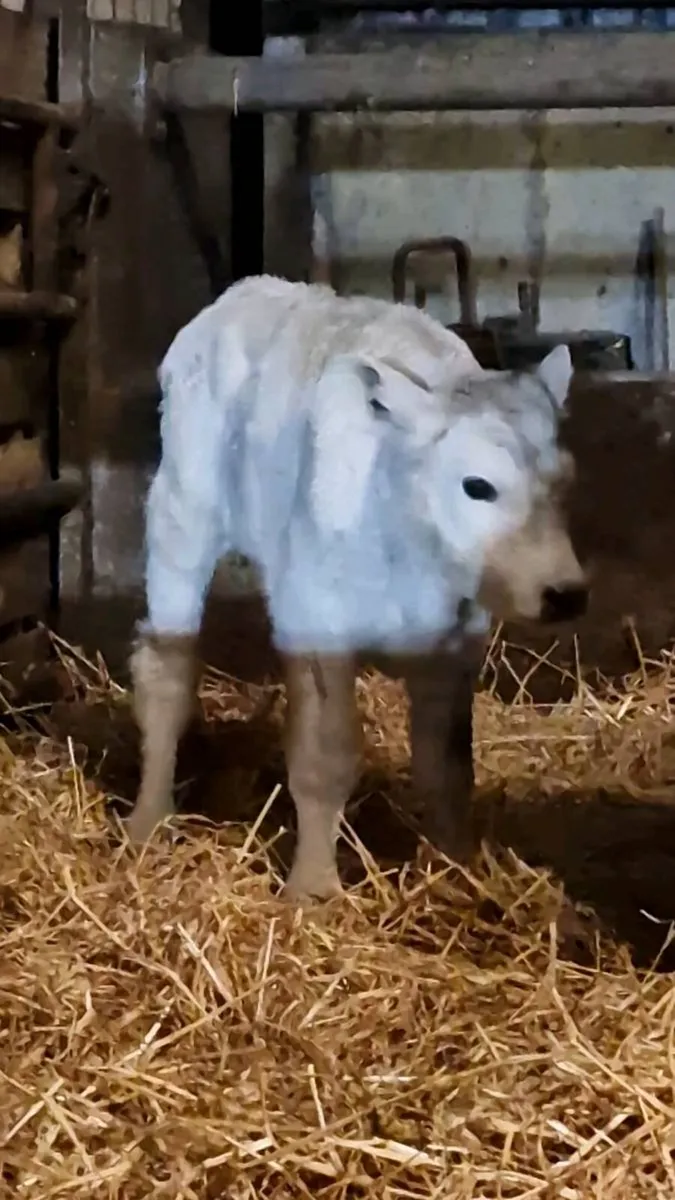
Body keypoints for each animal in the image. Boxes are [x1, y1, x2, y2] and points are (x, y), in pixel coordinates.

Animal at [127, 275, 587, 900]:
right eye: (478, 485)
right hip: (182, 505)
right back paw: (148, 819)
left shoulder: (456, 639)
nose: (565, 594)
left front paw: (455, 867)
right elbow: (325, 756)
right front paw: (313, 889)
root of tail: (246, 290)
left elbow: (446, 762)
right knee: (167, 668)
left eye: (564, 483)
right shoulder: (314, 616)